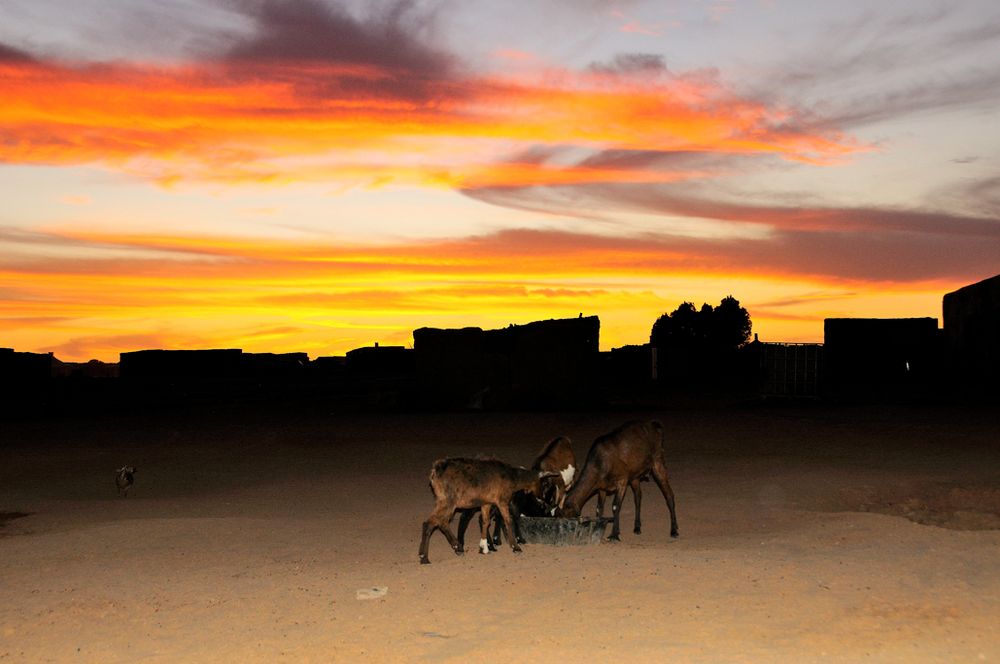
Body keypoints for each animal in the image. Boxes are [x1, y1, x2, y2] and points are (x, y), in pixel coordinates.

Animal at [418, 456, 560, 564]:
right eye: (544, 484)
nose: (542, 497)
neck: (513, 477)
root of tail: (435, 471)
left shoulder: (486, 503)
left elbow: (486, 521)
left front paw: (484, 547)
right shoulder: (502, 501)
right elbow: (508, 520)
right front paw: (516, 547)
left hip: (443, 501)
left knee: (439, 522)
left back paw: (452, 549)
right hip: (448, 501)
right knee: (432, 523)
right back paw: (429, 556)